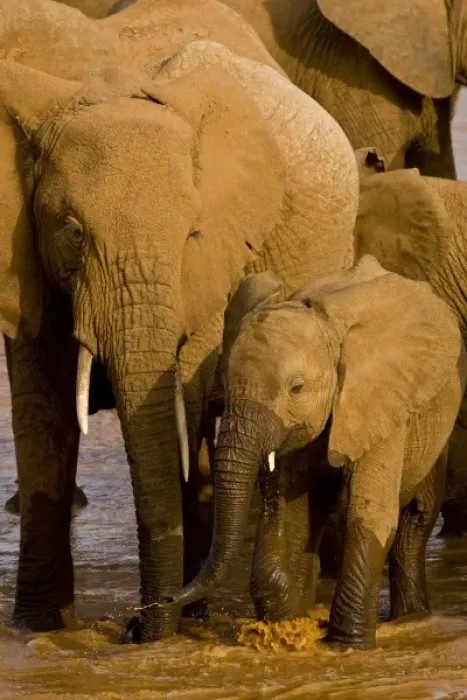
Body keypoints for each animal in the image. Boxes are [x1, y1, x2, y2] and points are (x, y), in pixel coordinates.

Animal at [0, 0, 359, 641]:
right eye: (73, 232)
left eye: (192, 233)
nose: (137, 626)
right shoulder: (27, 261)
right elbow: (44, 412)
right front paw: (37, 628)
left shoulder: (214, 266)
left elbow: (182, 411)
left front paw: (169, 625)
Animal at [168, 256, 466, 649]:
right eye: (227, 384)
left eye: (296, 388)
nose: (168, 599)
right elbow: (287, 518)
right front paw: (289, 626)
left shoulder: (378, 401)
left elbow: (367, 513)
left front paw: (348, 645)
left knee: (415, 520)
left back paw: (412, 617)